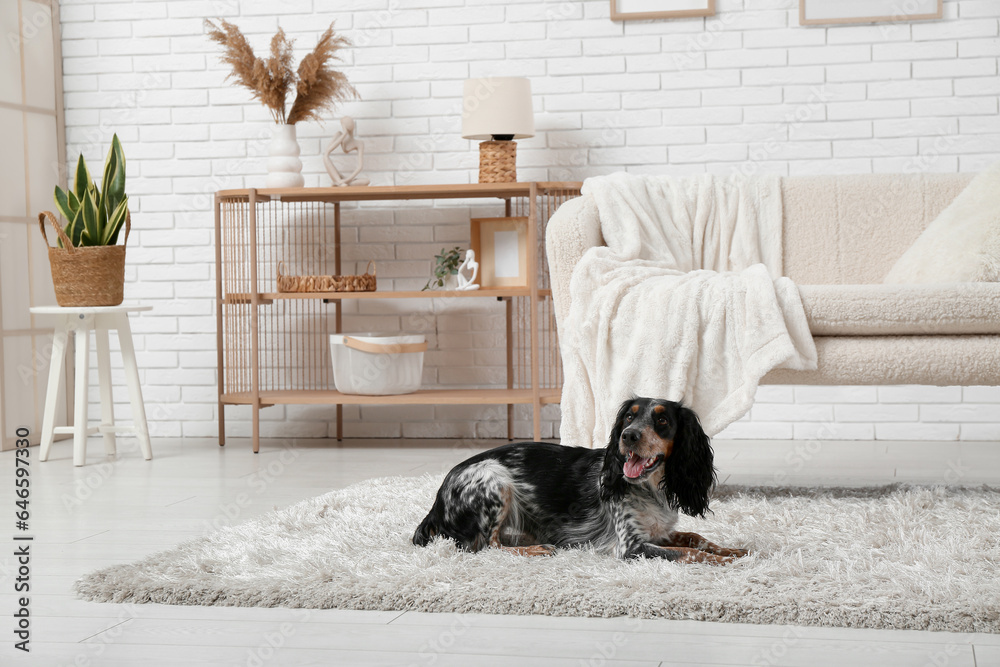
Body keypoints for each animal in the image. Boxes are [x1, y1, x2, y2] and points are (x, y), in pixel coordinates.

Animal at [410, 400, 748, 568]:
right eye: (628, 418)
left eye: (662, 420)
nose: (628, 436)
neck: (647, 487)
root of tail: (437, 501)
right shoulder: (631, 547)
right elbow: (689, 552)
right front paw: (725, 562)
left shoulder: (658, 532)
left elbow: (695, 538)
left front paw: (733, 550)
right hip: (494, 480)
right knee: (484, 547)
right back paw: (537, 549)